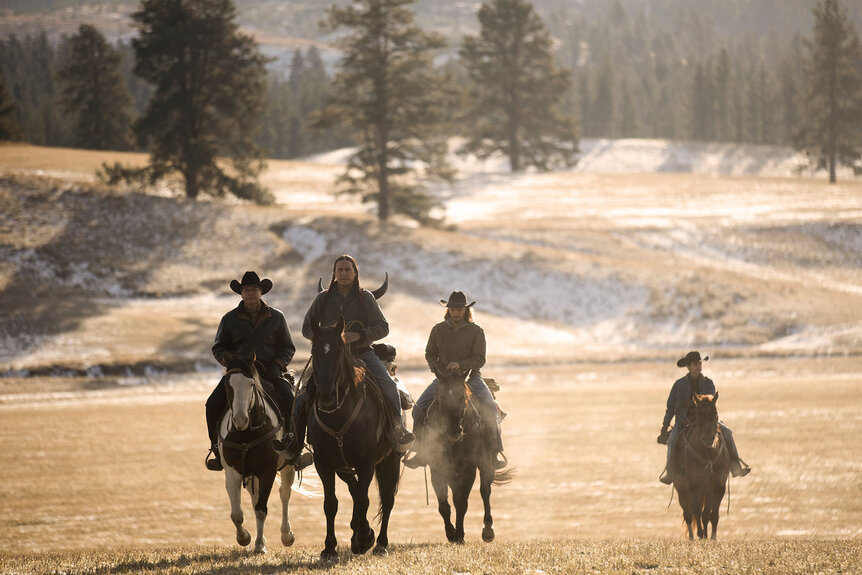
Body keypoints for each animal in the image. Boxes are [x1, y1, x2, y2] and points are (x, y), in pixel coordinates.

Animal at [216, 354, 296, 556]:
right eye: (227, 385)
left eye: (251, 383)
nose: (240, 419)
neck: (245, 434)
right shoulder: (232, 471)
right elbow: (237, 514)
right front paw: (244, 538)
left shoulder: (267, 470)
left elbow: (261, 509)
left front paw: (259, 545)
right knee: (255, 498)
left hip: (288, 466)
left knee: (284, 493)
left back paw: (287, 535)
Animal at [308, 318, 404, 560]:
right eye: (314, 350)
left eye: (340, 349)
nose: (326, 395)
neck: (338, 415)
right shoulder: (324, 463)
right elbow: (331, 503)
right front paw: (329, 548)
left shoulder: (366, 462)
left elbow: (364, 498)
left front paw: (363, 539)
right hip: (344, 466)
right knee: (354, 489)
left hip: (392, 458)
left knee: (386, 498)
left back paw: (380, 543)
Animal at [426, 368, 512, 544]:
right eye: (441, 398)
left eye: (463, 398)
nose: (454, 433)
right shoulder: (437, 469)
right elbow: (444, 505)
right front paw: (451, 533)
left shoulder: (468, 469)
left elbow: (461, 503)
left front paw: (459, 535)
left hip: (487, 465)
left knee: (485, 492)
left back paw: (488, 530)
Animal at [676, 394, 728, 544]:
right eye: (699, 415)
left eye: (715, 413)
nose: (708, 438)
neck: (707, 453)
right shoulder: (694, 485)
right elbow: (697, 511)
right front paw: (700, 534)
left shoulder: (718, 485)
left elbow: (712, 513)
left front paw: (712, 537)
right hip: (681, 489)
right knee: (688, 513)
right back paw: (692, 537)